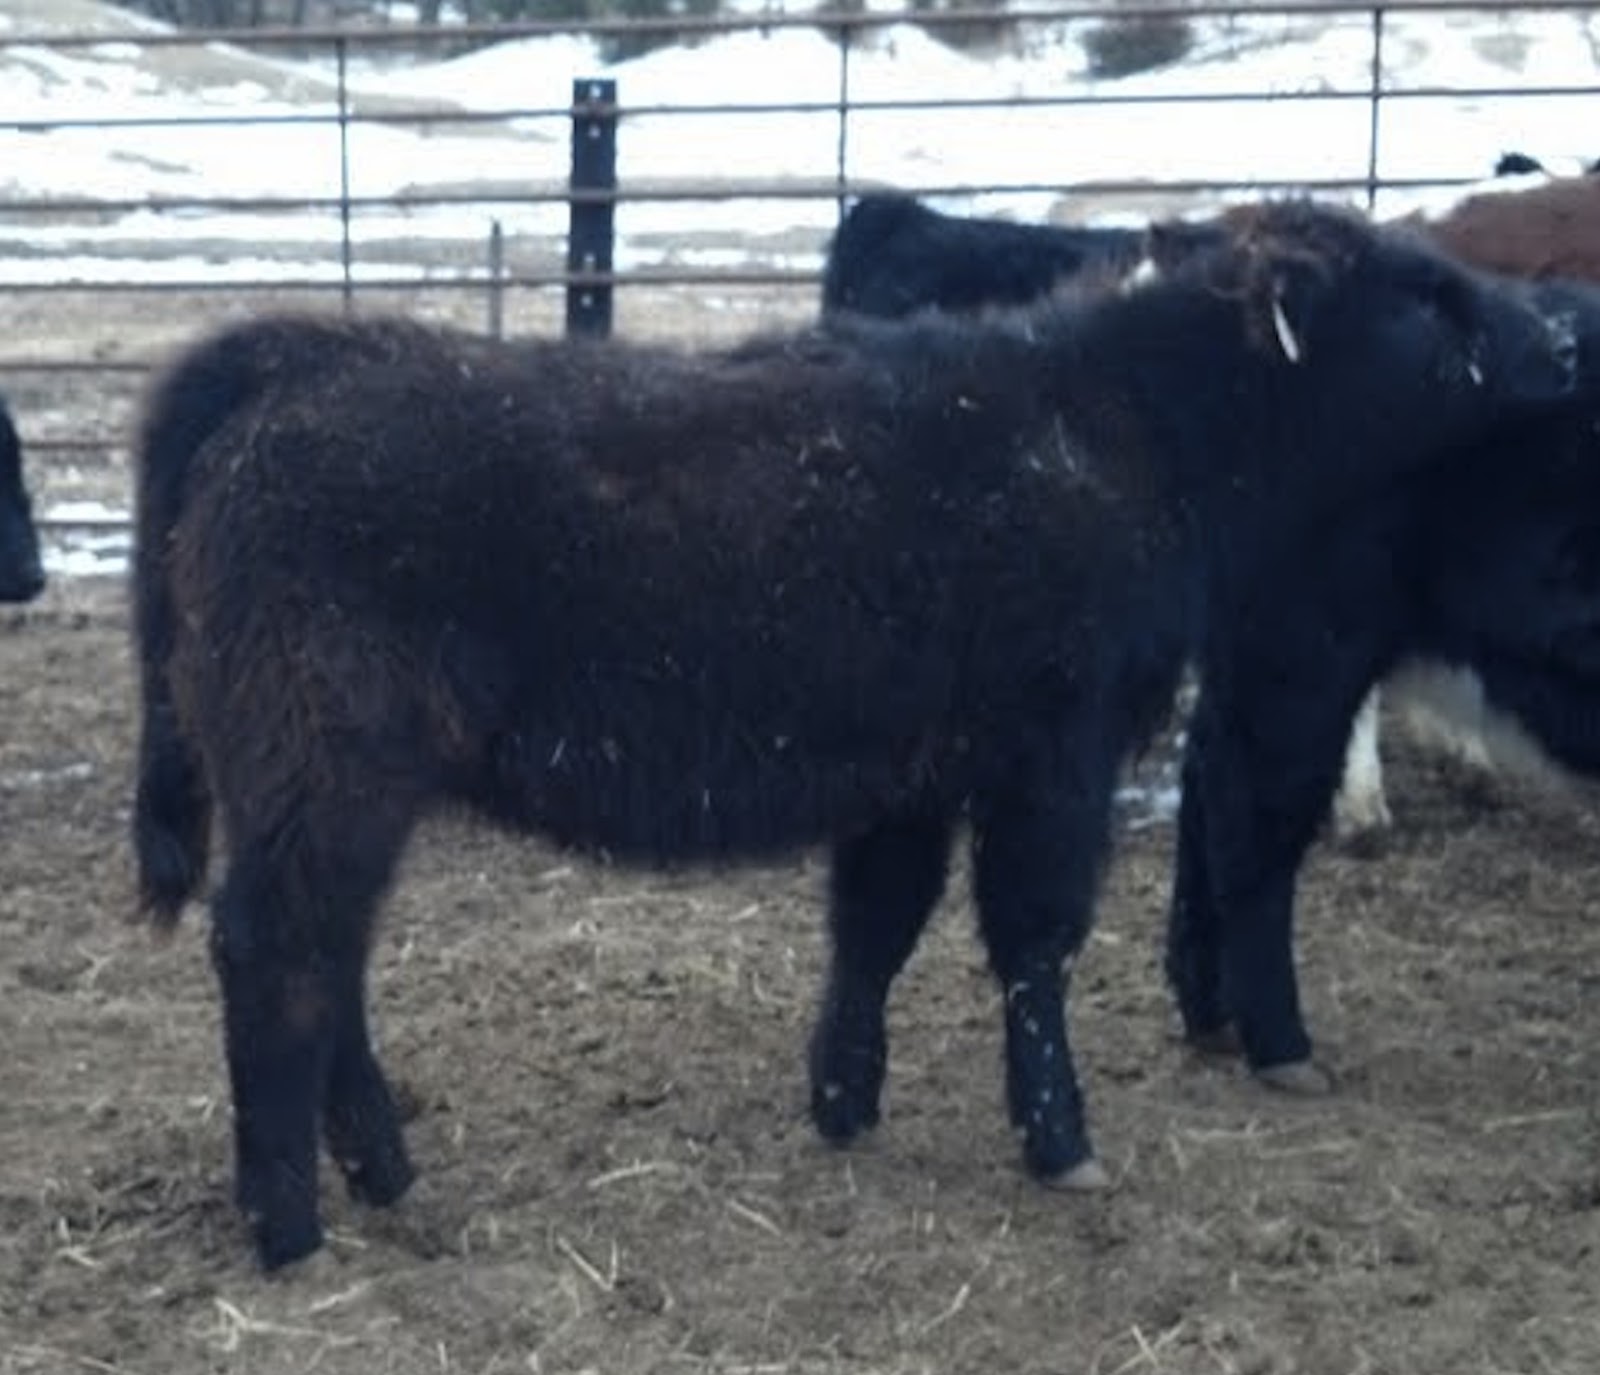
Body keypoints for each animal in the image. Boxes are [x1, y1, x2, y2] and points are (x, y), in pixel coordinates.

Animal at [131, 200, 1576, 1268]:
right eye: (1423, 293)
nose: (1560, 339)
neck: (1123, 429)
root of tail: (296, 356)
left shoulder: (914, 770)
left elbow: (875, 924)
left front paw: (843, 1102)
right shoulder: (1052, 755)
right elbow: (1033, 943)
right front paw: (1059, 1138)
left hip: (333, 787)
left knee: (328, 963)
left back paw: (383, 1173)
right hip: (323, 767)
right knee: (276, 956)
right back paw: (292, 1226)